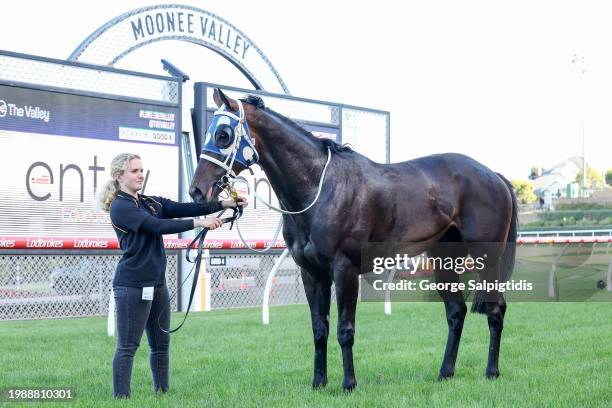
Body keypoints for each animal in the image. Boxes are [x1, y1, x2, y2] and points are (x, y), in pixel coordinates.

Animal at [190, 89, 516, 392]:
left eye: (223, 134)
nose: (196, 190)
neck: (320, 189)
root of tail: (495, 176)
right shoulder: (312, 274)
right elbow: (319, 329)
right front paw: (319, 382)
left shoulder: (344, 270)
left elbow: (345, 330)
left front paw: (349, 383)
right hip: (443, 259)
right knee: (456, 312)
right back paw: (445, 372)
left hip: (487, 259)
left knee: (496, 309)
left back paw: (492, 372)